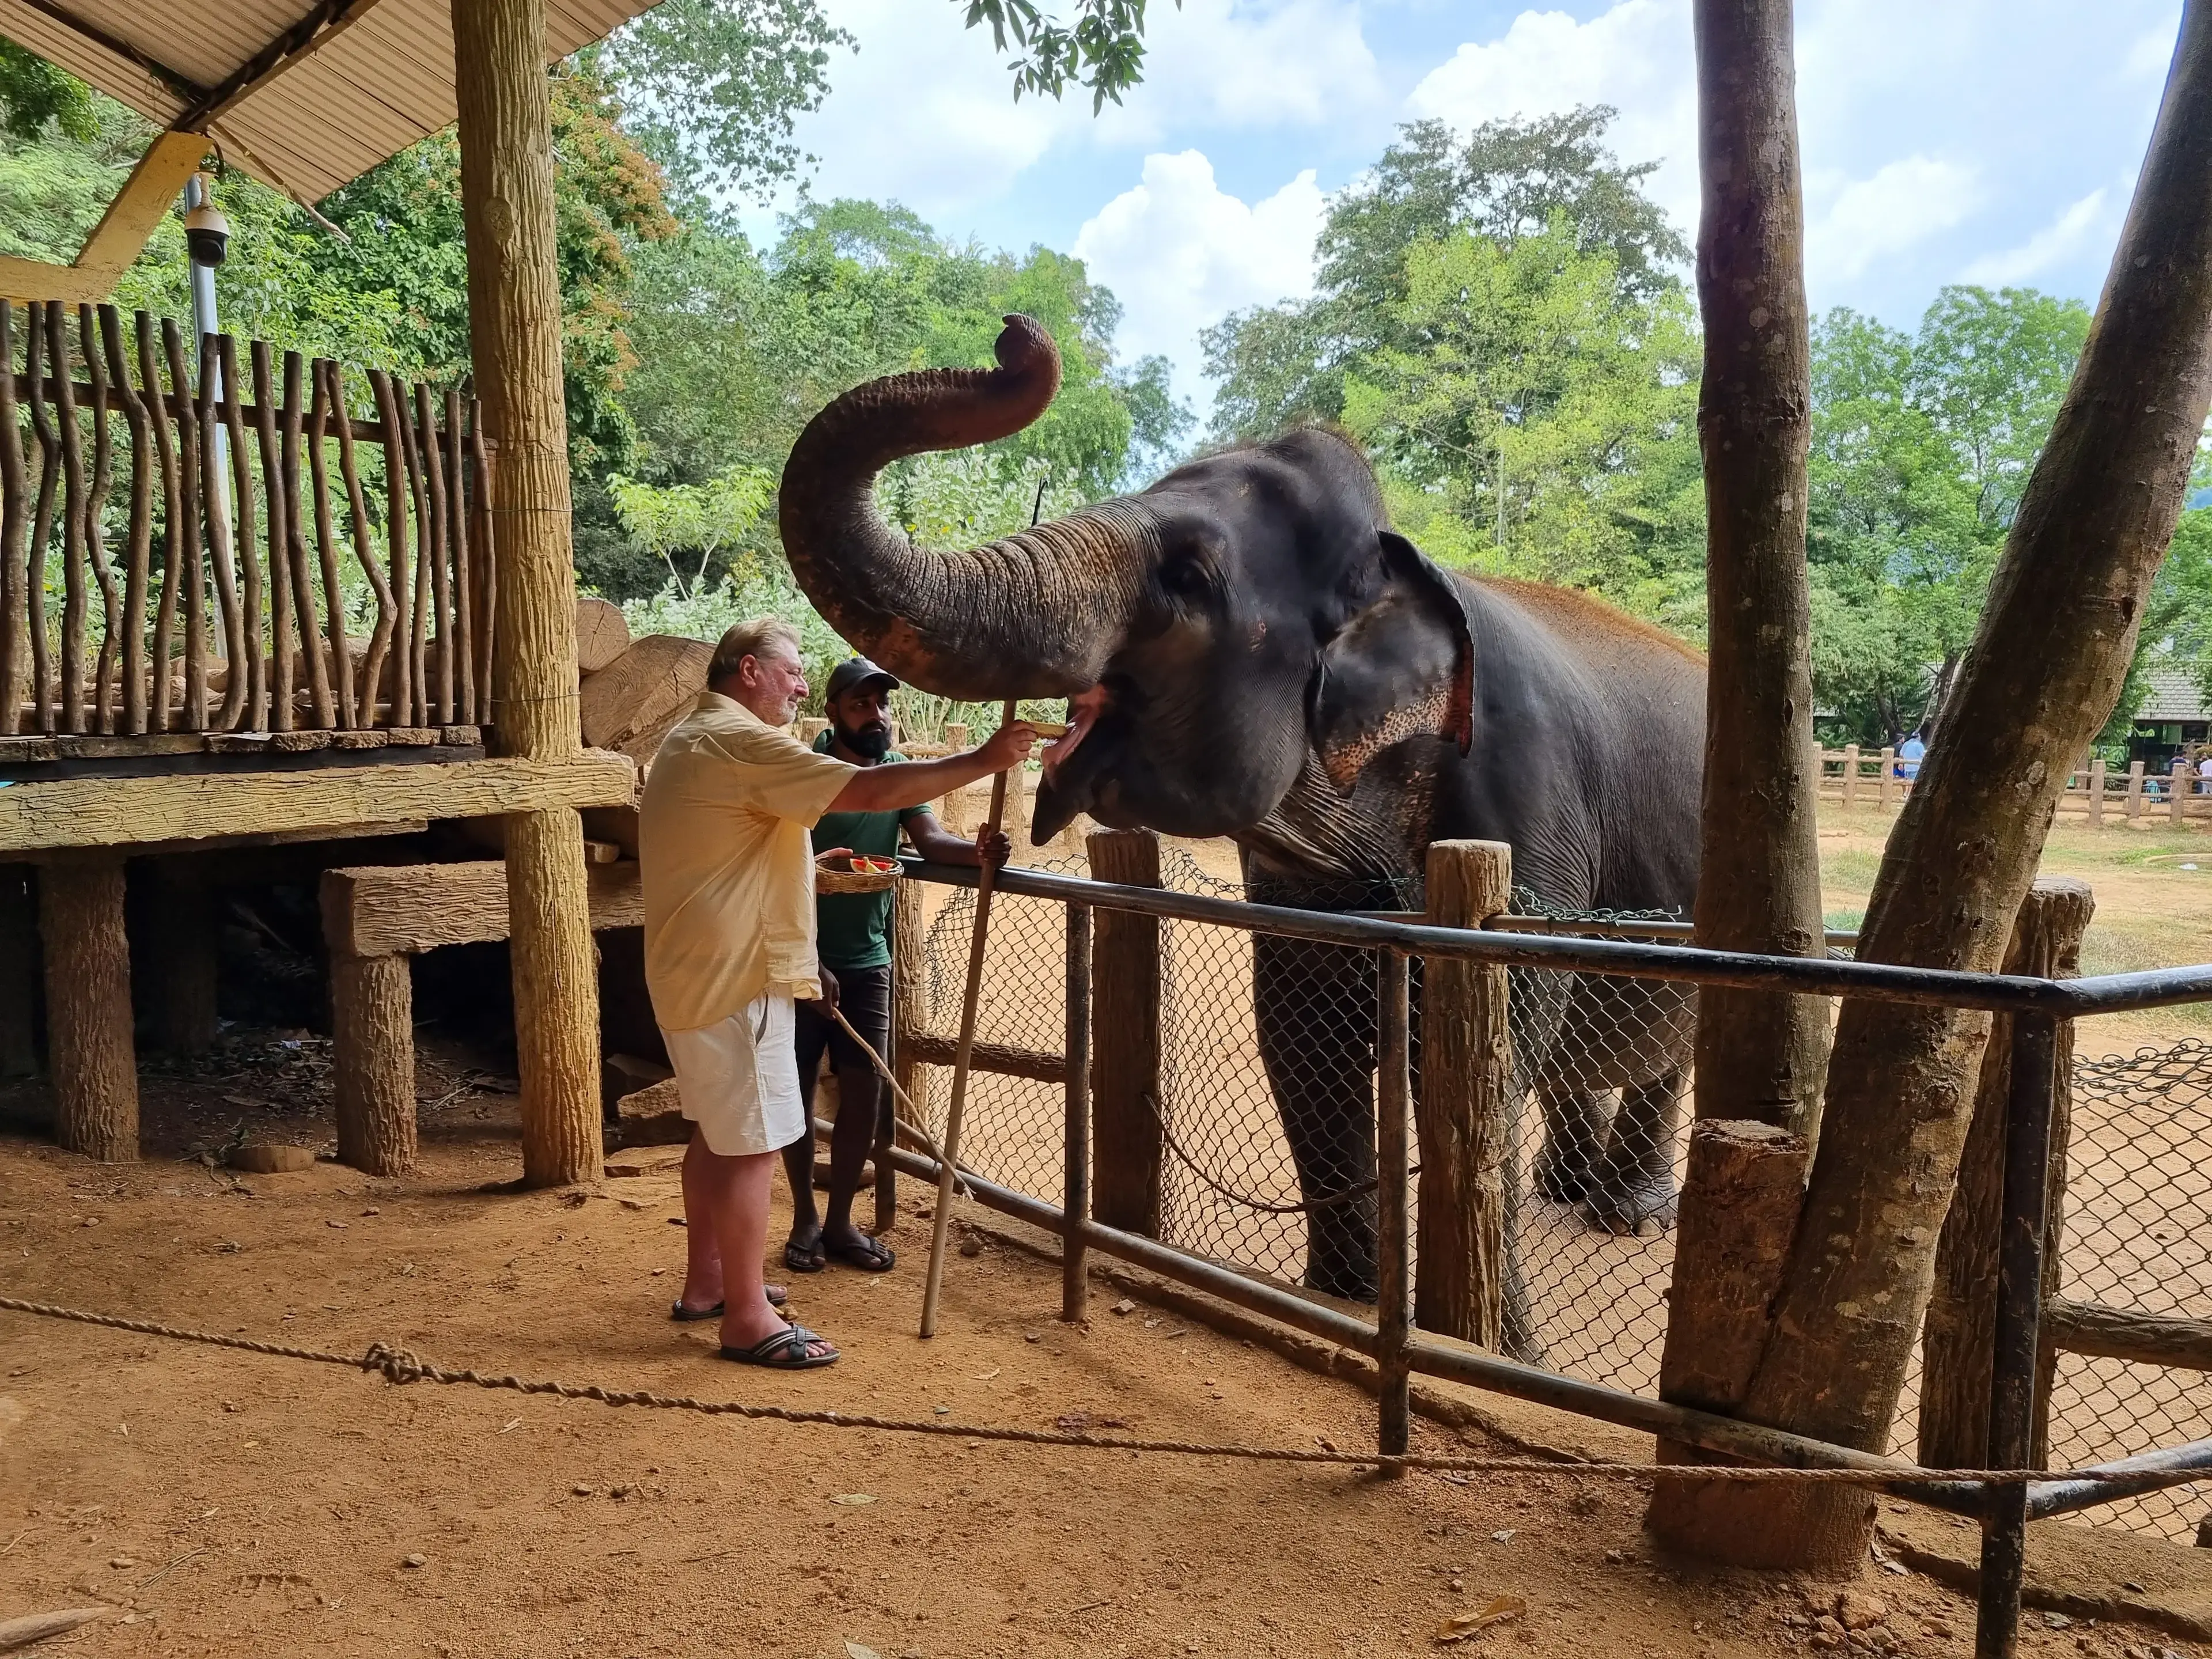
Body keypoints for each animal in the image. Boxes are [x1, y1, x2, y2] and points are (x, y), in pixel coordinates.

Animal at [778, 315, 1704, 1306]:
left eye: (1187, 576)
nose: (1016, 335)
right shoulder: (1297, 888)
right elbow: (1301, 1046)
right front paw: (1340, 1300)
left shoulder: (1525, 834)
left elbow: (1479, 1058)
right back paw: (1567, 1188)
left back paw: (1629, 1213)